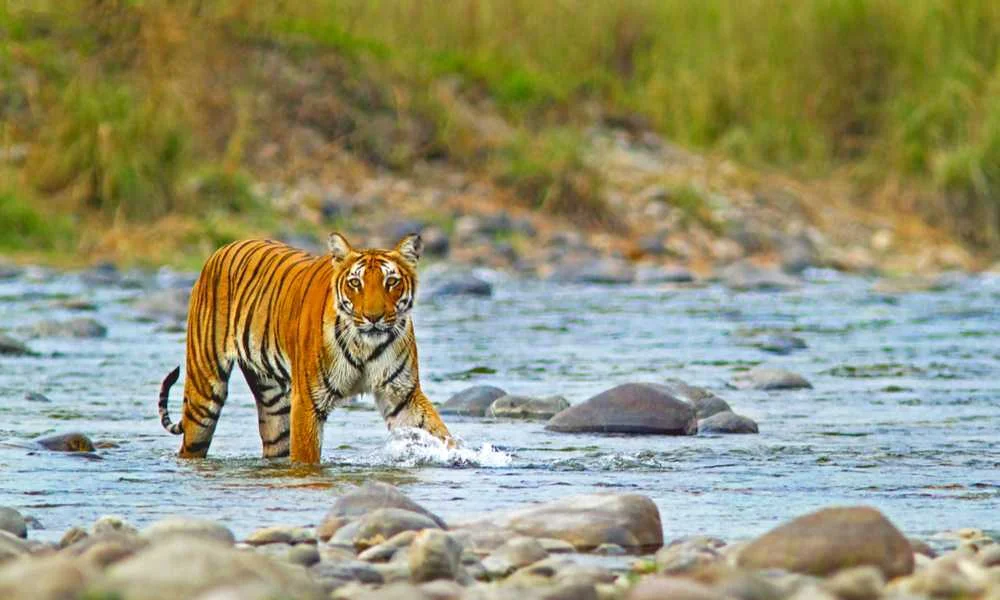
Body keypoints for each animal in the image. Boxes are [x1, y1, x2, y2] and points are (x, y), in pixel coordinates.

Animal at [157, 232, 453, 463]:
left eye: (391, 282)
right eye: (355, 283)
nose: (373, 317)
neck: (365, 345)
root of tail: (222, 249)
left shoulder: (402, 394)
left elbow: (438, 433)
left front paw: (459, 456)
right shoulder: (308, 401)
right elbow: (306, 457)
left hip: (274, 404)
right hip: (204, 392)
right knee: (191, 442)